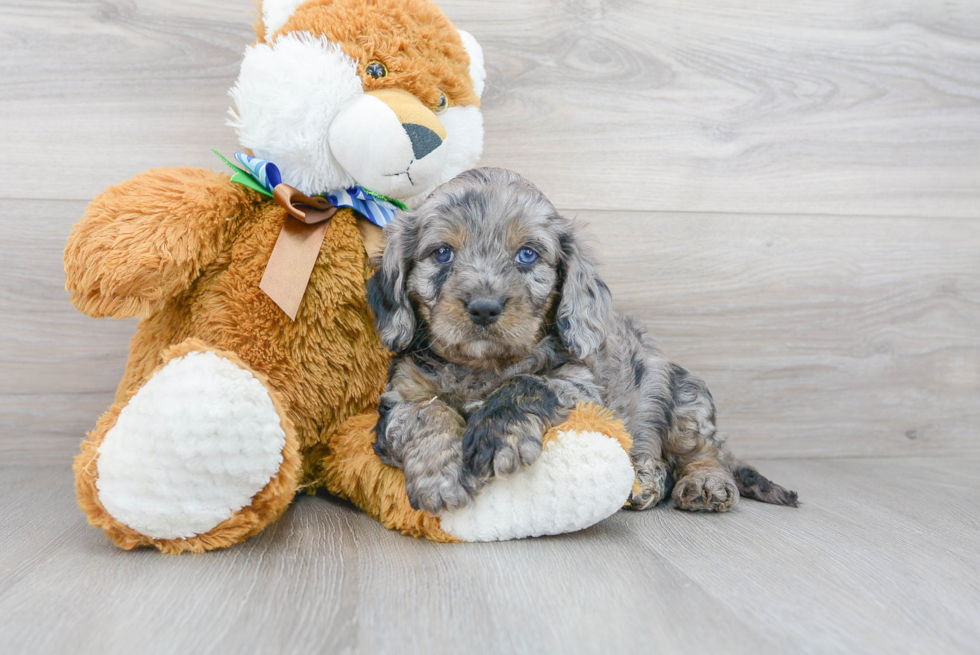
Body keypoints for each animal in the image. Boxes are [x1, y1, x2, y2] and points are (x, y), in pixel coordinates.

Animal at [368, 169, 796, 516]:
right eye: (442, 253)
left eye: (527, 255)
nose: (484, 308)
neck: (483, 366)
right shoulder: (399, 397)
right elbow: (427, 411)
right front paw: (442, 474)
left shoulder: (582, 387)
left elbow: (527, 384)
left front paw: (497, 435)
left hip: (685, 398)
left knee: (705, 452)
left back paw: (700, 481)